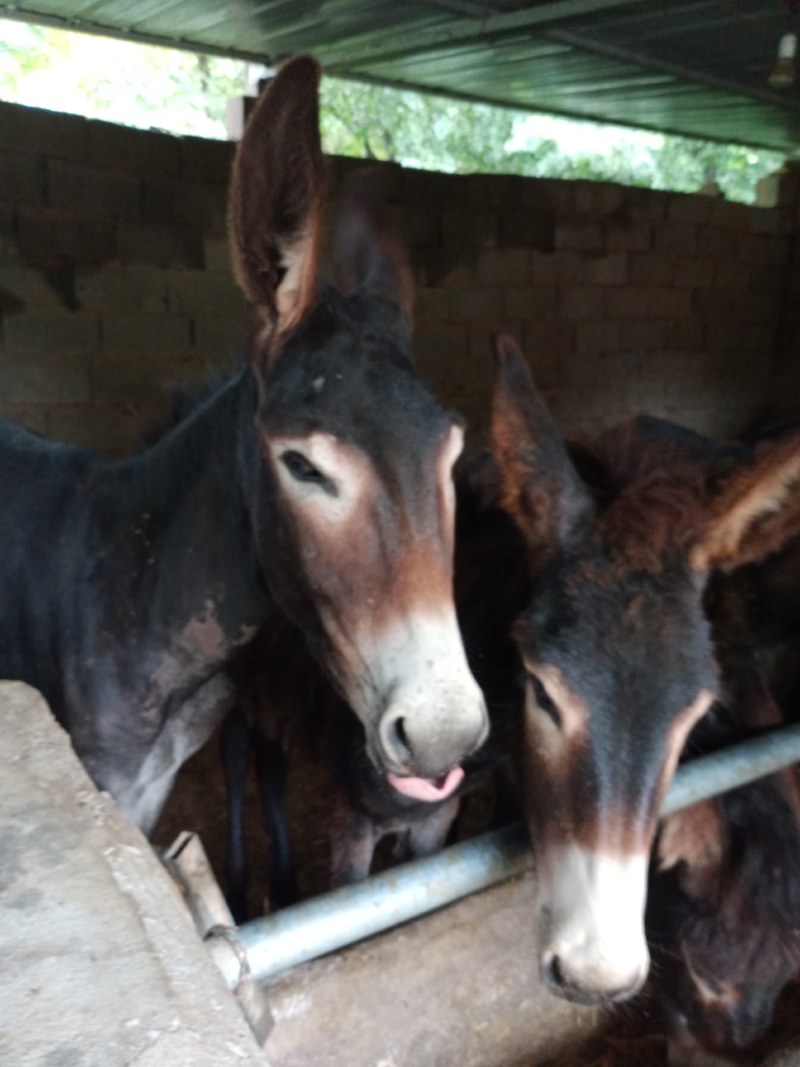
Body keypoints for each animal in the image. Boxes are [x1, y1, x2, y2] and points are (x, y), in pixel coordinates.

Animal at [0, 56, 487, 837]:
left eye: (450, 454)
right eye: (302, 465)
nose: (444, 735)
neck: (132, 586)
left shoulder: (151, 788)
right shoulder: (104, 788)